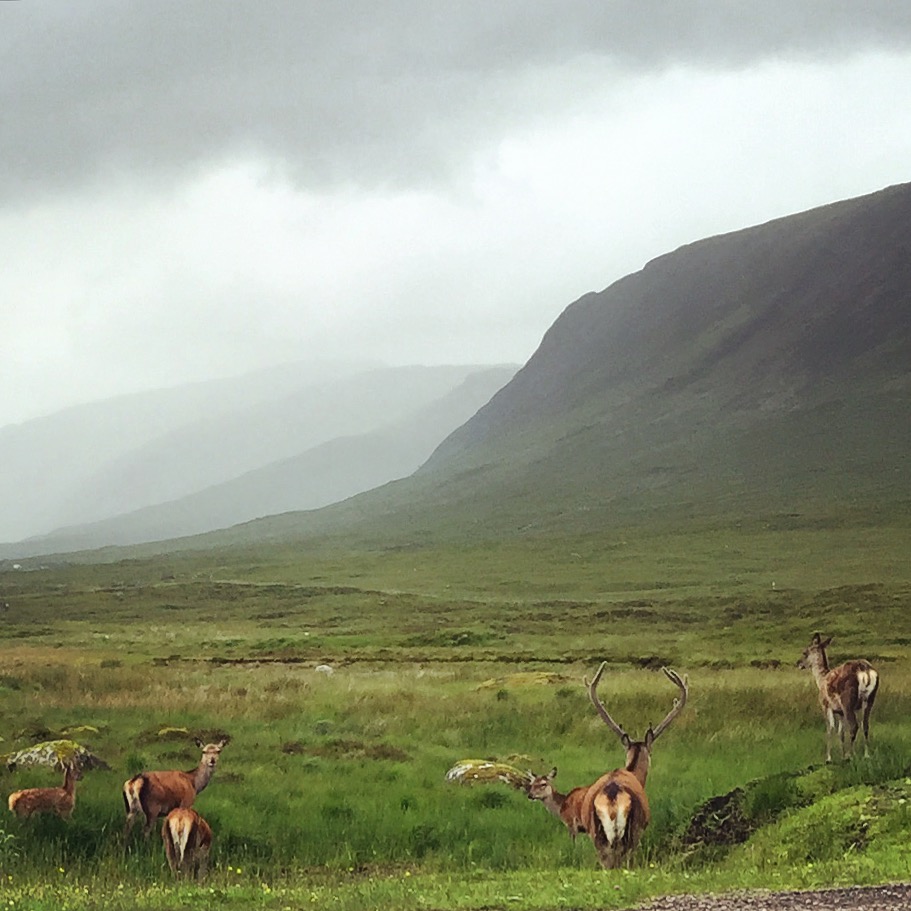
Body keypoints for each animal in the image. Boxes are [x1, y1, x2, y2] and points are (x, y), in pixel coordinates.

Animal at [800, 636, 876, 764]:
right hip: (870, 699)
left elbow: (830, 728)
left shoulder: (825, 705)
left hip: (848, 701)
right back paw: (866, 755)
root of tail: (865, 671)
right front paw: (842, 755)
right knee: (865, 725)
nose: (798, 663)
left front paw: (829, 758)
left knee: (854, 725)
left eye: (805, 652)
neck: (820, 680)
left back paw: (852, 755)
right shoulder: (840, 712)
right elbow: (841, 732)